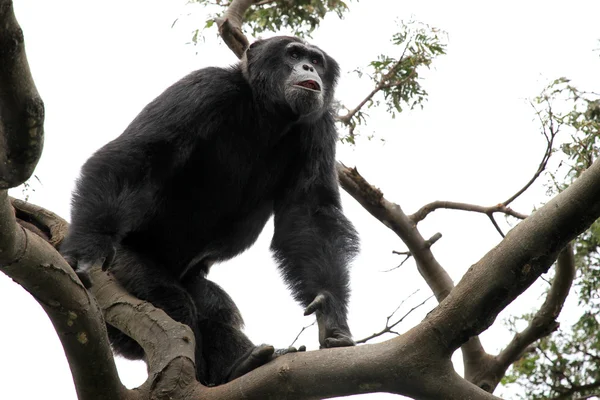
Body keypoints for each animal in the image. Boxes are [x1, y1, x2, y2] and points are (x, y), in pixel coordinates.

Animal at [60, 36, 358, 386]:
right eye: (294, 53)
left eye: (317, 59)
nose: (309, 67)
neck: (266, 112)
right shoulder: (203, 88)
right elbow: (138, 155)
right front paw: (87, 247)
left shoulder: (319, 126)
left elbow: (310, 212)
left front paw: (329, 309)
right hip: (120, 267)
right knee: (172, 303)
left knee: (216, 308)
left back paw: (245, 362)